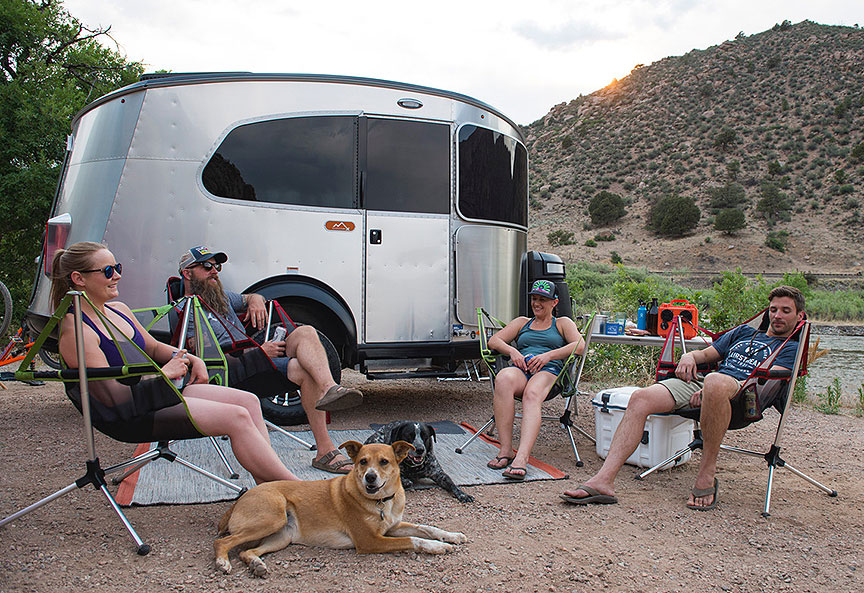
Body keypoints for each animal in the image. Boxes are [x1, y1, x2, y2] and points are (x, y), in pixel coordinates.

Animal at [216, 440, 472, 572]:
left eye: (384, 462)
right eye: (363, 461)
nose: (370, 478)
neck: (381, 502)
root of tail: (242, 497)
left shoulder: (393, 526)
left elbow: (426, 527)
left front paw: (452, 536)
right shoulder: (370, 541)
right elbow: (414, 540)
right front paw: (438, 546)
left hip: (281, 536)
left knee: (247, 551)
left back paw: (256, 564)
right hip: (273, 517)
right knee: (222, 542)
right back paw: (222, 562)